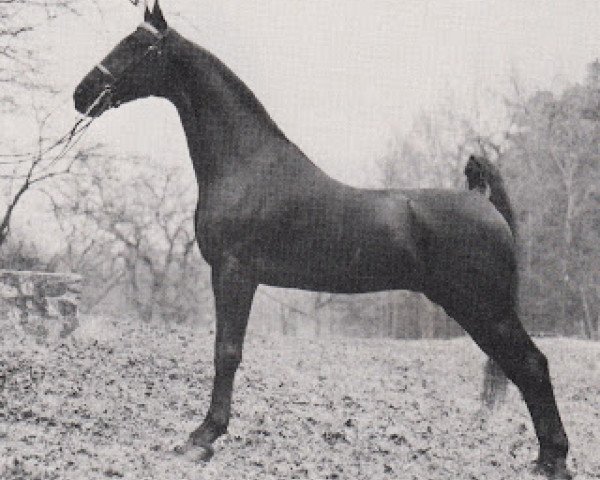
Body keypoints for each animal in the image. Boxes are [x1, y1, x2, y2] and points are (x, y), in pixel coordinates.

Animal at [74, 2, 572, 476]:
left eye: (136, 45)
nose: (81, 94)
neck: (247, 164)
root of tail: (483, 203)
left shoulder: (235, 274)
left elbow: (226, 352)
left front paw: (203, 438)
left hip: (485, 308)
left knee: (532, 365)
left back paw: (554, 460)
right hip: (472, 308)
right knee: (521, 367)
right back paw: (546, 458)